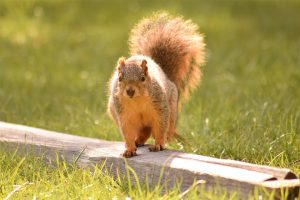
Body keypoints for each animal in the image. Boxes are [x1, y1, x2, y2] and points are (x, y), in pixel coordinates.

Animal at [106, 11, 205, 158]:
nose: (130, 91)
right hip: (113, 109)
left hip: (172, 111)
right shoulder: (123, 113)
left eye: (143, 78)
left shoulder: (160, 106)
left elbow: (161, 126)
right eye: (120, 78)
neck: (137, 100)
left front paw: (158, 144)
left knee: (160, 129)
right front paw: (129, 149)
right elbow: (127, 131)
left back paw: (164, 139)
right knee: (144, 131)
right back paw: (138, 141)